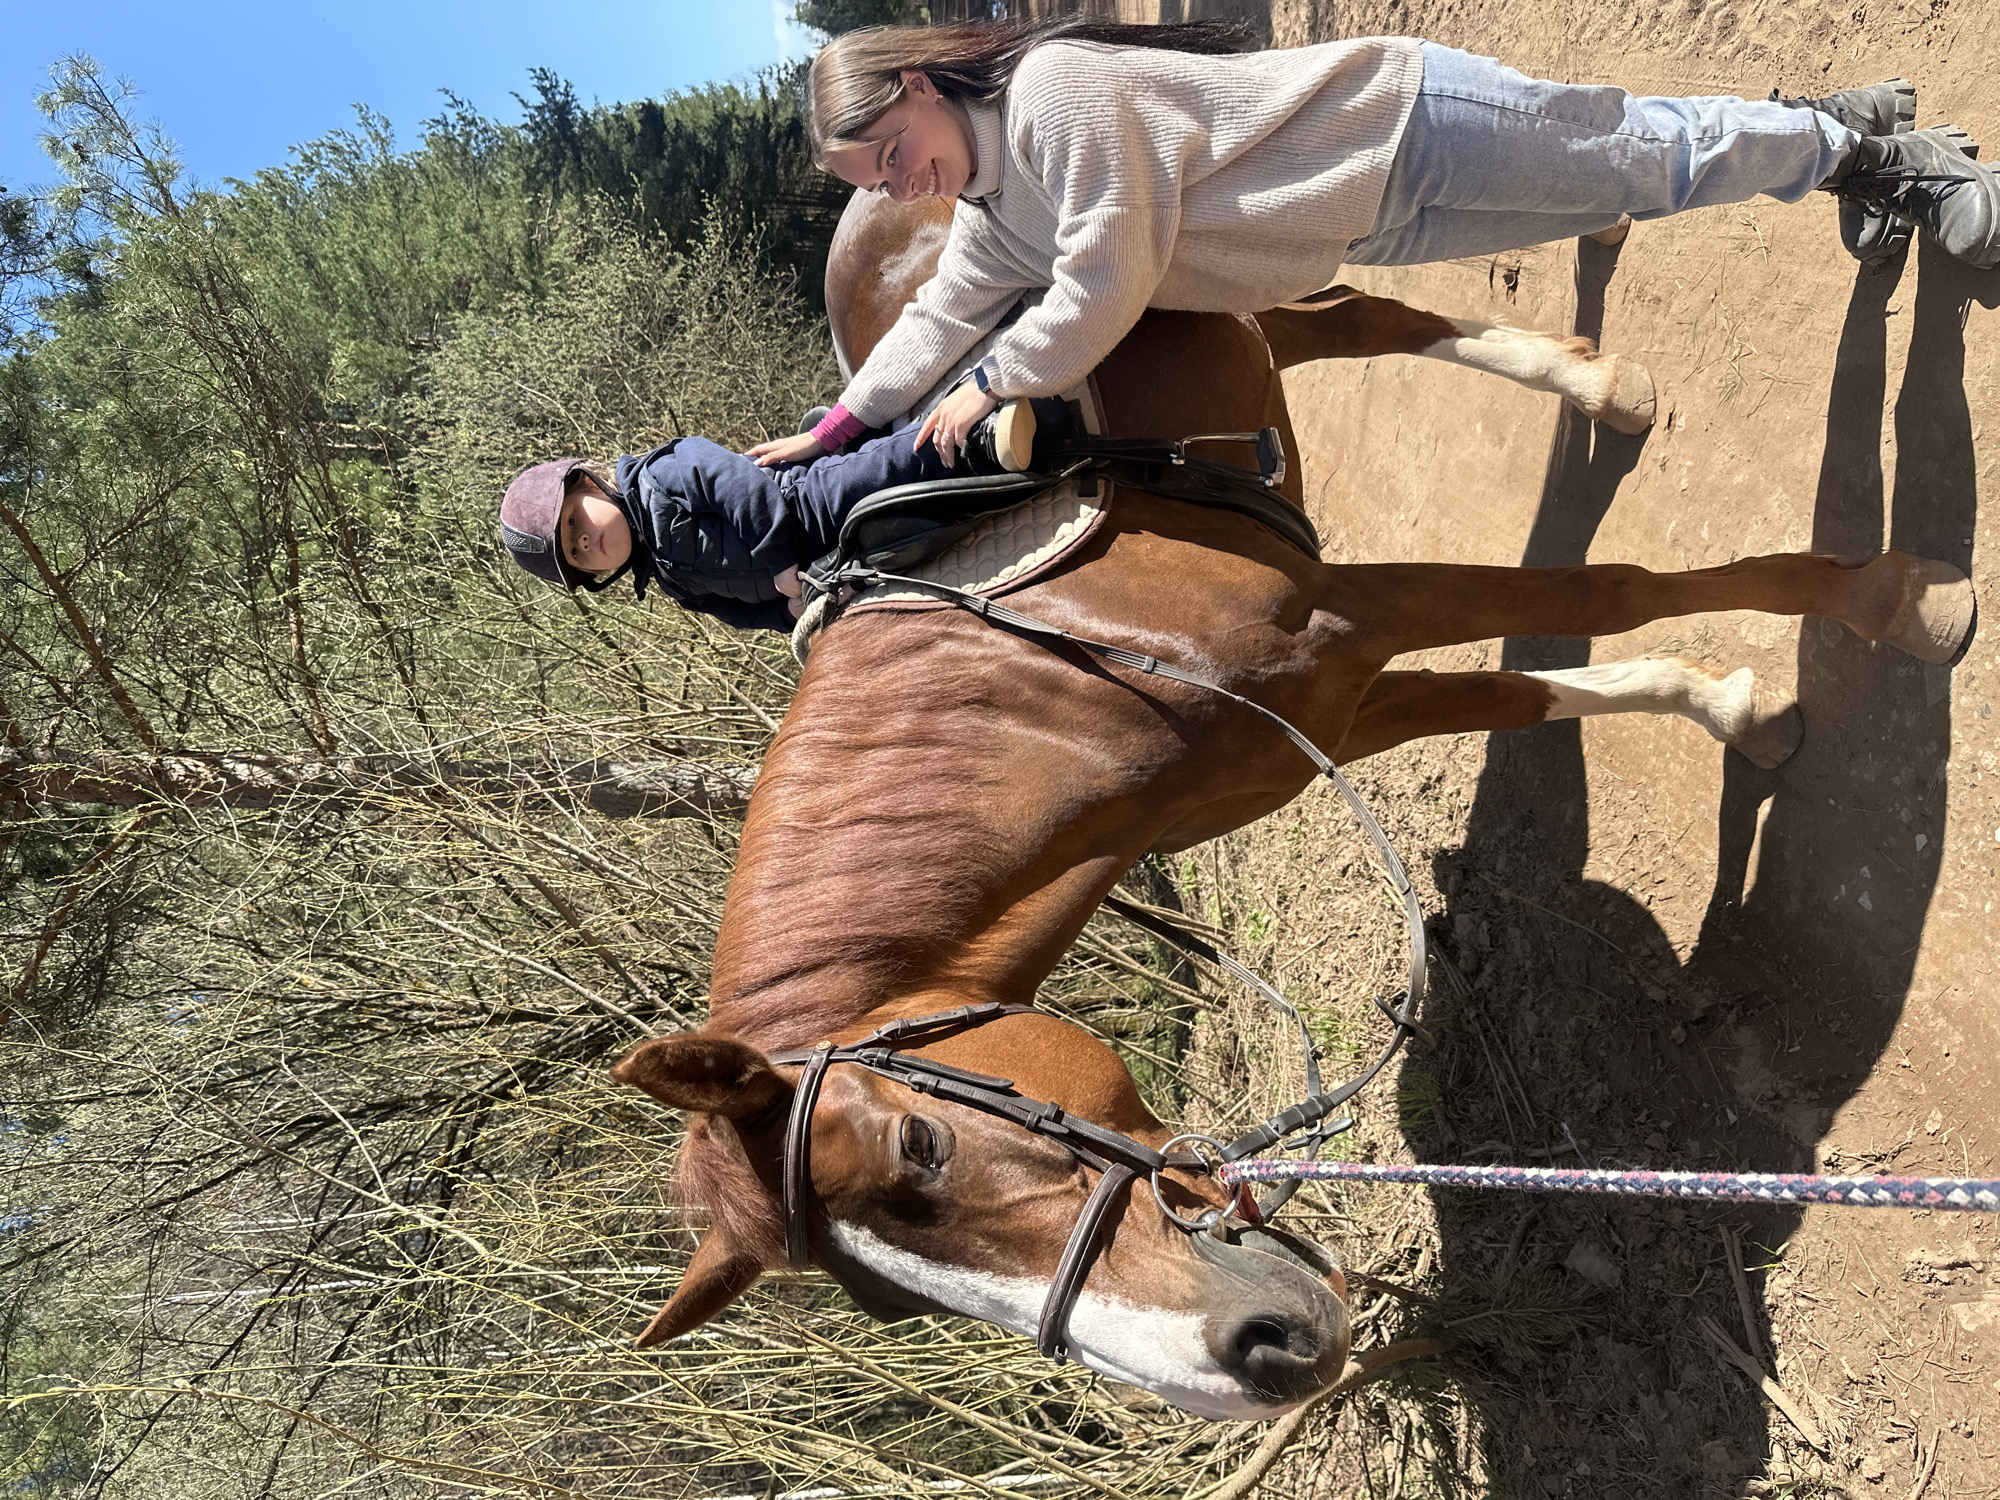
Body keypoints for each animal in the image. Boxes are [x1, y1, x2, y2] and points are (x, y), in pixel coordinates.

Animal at [611, 191, 1976, 1420]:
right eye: (895, 1302)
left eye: (920, 1150)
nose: (1259, 1361)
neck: (1053, 680)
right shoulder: (1333, 706)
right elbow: (1533, 686)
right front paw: (1730, 704)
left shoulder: (1348, 621)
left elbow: (1615, 588)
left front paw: (1895, 602)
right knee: (1341, 321)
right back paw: (1600, 390)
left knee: (1365, 311)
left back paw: (1614, 390)